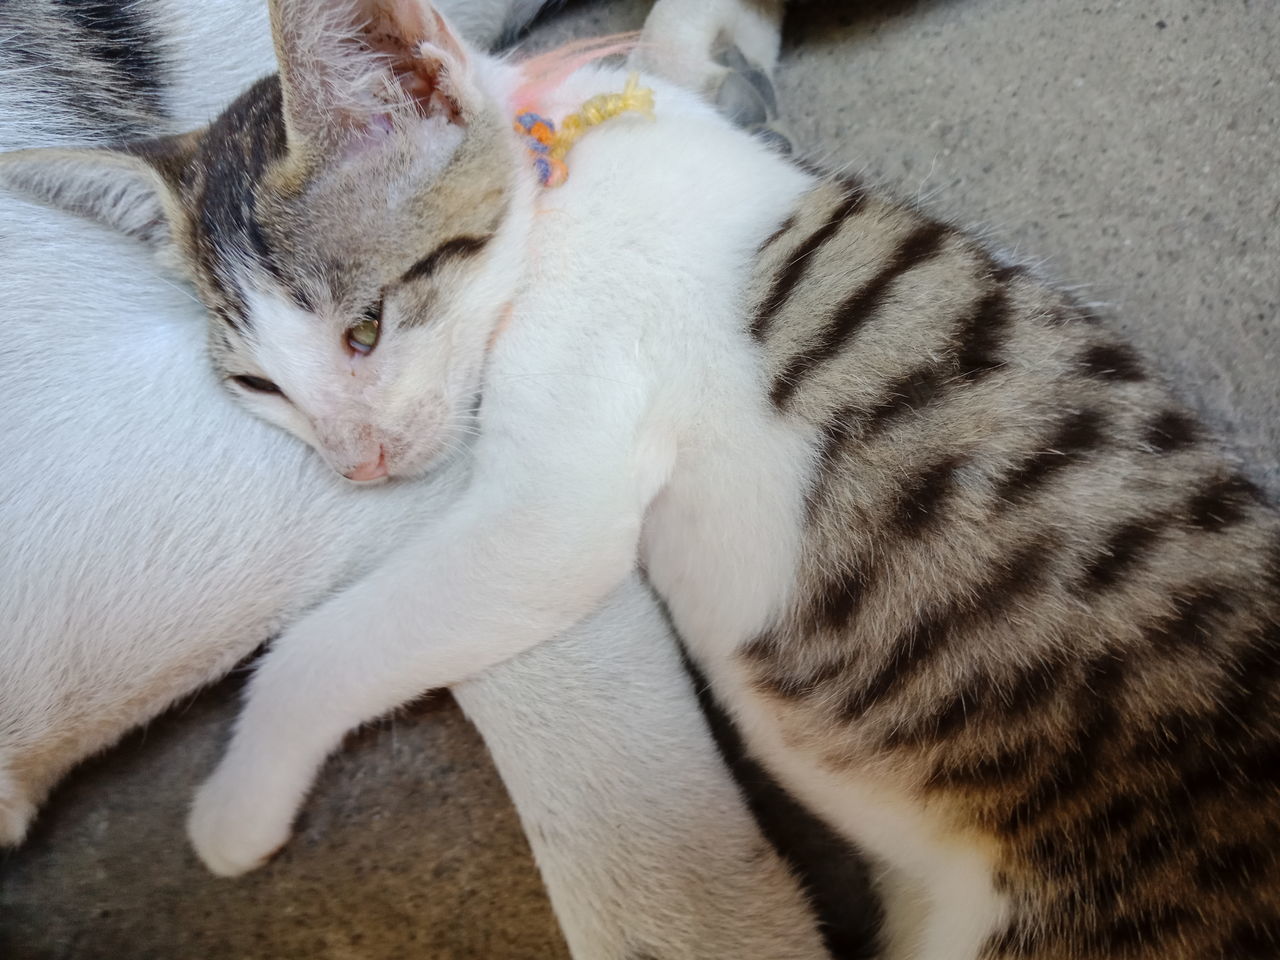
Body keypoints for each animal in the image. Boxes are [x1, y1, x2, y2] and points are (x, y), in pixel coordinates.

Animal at [5, 1, 1274, 960]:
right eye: (260, 386)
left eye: (365, 327)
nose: (356, 462)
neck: (554, 164)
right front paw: (710, 41)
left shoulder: (554, 499)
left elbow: (330, 640)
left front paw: (235, 807)